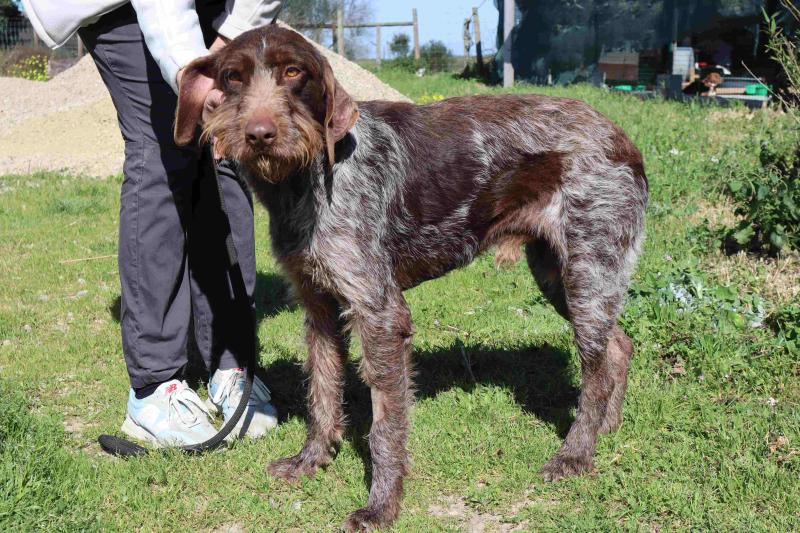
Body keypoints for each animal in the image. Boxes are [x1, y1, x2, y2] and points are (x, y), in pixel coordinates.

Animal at [175, 25, 648, 531]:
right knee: (618, 347)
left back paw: (576, 454)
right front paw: (311, 460)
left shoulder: (380, 313)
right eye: (232, 76)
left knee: (595, 371)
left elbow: (385, 426)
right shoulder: (318, 305)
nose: (260, 134)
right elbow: (321, 394)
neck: (307, 180)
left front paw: (382, 504)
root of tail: (621, 136)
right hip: (560, 276)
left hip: (587, 270)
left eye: (293, 72)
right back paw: (606, 428)